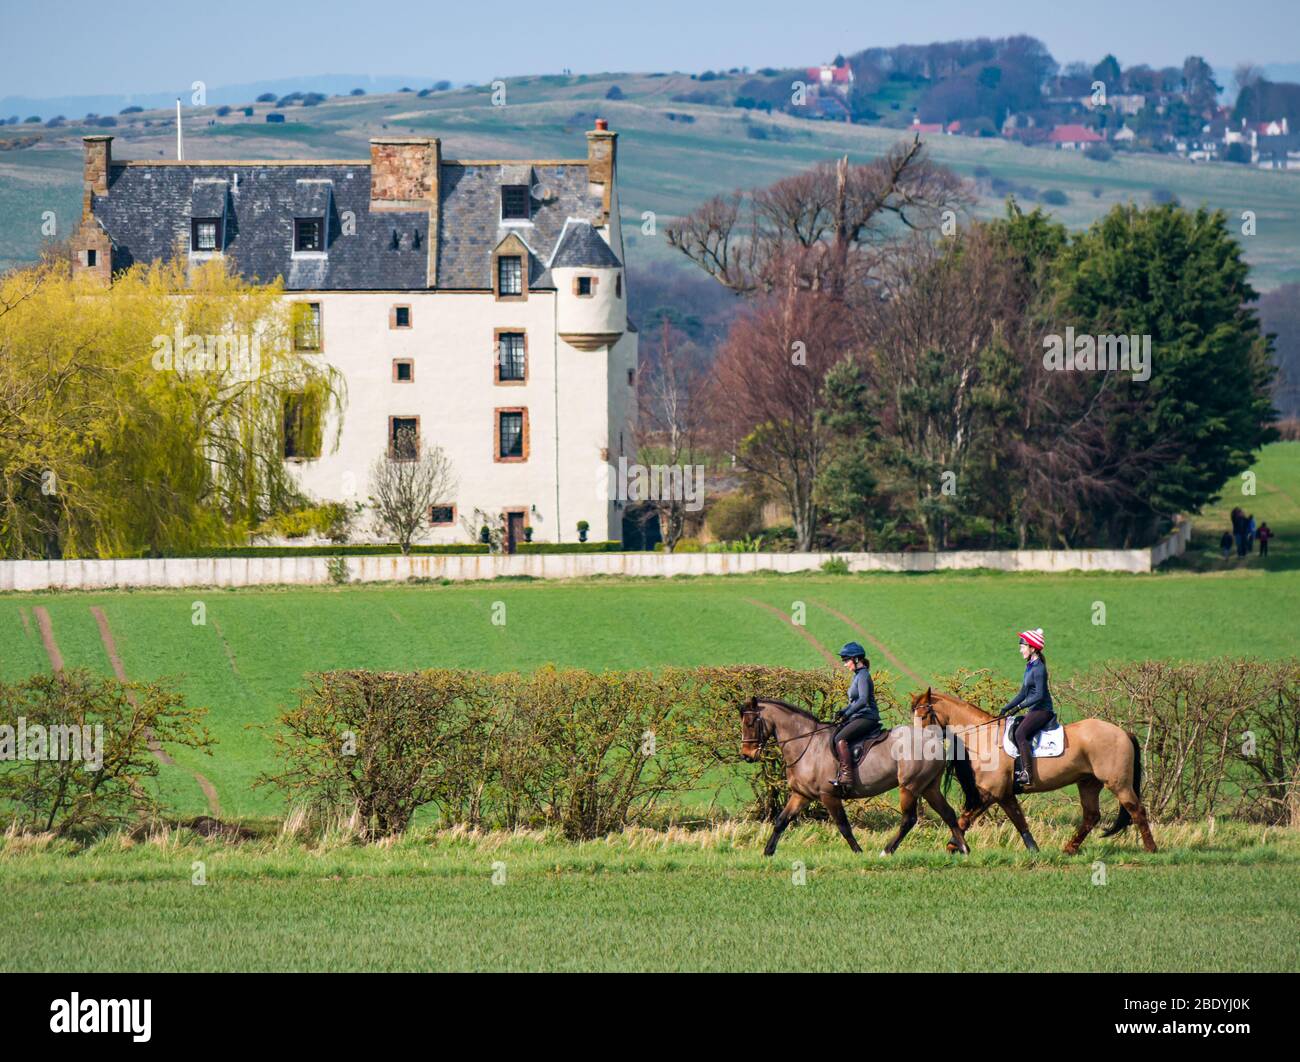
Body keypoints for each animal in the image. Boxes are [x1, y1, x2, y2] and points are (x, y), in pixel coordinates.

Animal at [738, 696, 972, 863]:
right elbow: (781, 821)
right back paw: (964, 849)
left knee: (909, 819)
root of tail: (934, 739)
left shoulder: (828, 795)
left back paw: (887, 851)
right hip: (929, 787)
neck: (807, 744)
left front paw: (858, 852)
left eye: (751, 722)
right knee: (948, 814)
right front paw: (767, 852)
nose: (747, 755)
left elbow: (843, 826)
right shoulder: (801, 795)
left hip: (910, 787)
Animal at [909, 686, 1164, 852]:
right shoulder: (1003, 794)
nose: (917, 744)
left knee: (1136, 810)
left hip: (1118, 783)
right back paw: (1069, 848)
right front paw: (1033, 849)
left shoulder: (992, 792)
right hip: (1088, 783)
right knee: (1092, 816)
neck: (983, 737)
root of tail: (1123, 732)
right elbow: (1016, 819)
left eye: (925, 715)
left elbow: (967, 818)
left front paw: (953, 844)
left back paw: (1151, 849)